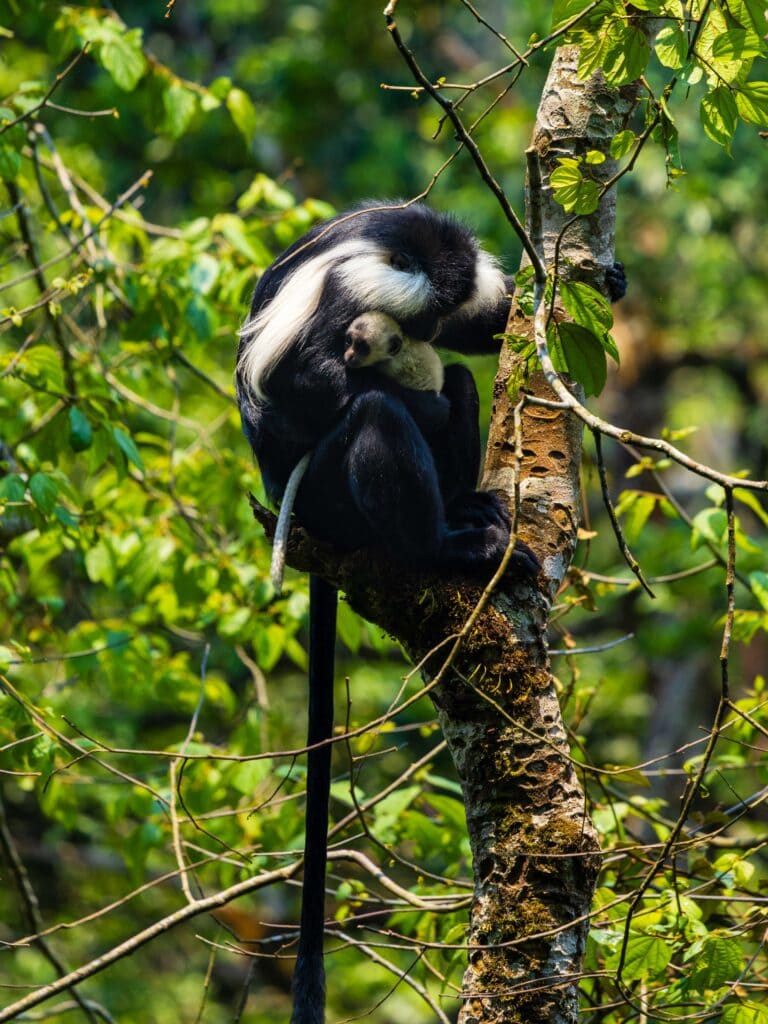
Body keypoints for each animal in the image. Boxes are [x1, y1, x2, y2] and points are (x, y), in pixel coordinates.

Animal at [236, 202, 540, 1024]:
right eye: (418, 315)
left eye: (441, 316)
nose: (430, 329)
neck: (409, 251)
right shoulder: (354, 288)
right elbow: (311, 378)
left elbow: (486, 336)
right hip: (330, 492)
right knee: (374, 412)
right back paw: (445, 547)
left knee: (462, 385)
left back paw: (469, 515)